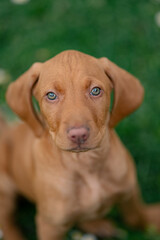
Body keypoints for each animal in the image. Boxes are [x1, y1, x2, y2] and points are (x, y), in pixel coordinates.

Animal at [0, 49, 160, 239]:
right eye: (51, 95)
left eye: (95, 91)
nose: (78, 135)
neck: (86, 164)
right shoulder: (50, 225)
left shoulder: (129, 191)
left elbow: (136, 217)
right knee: (7, 222)